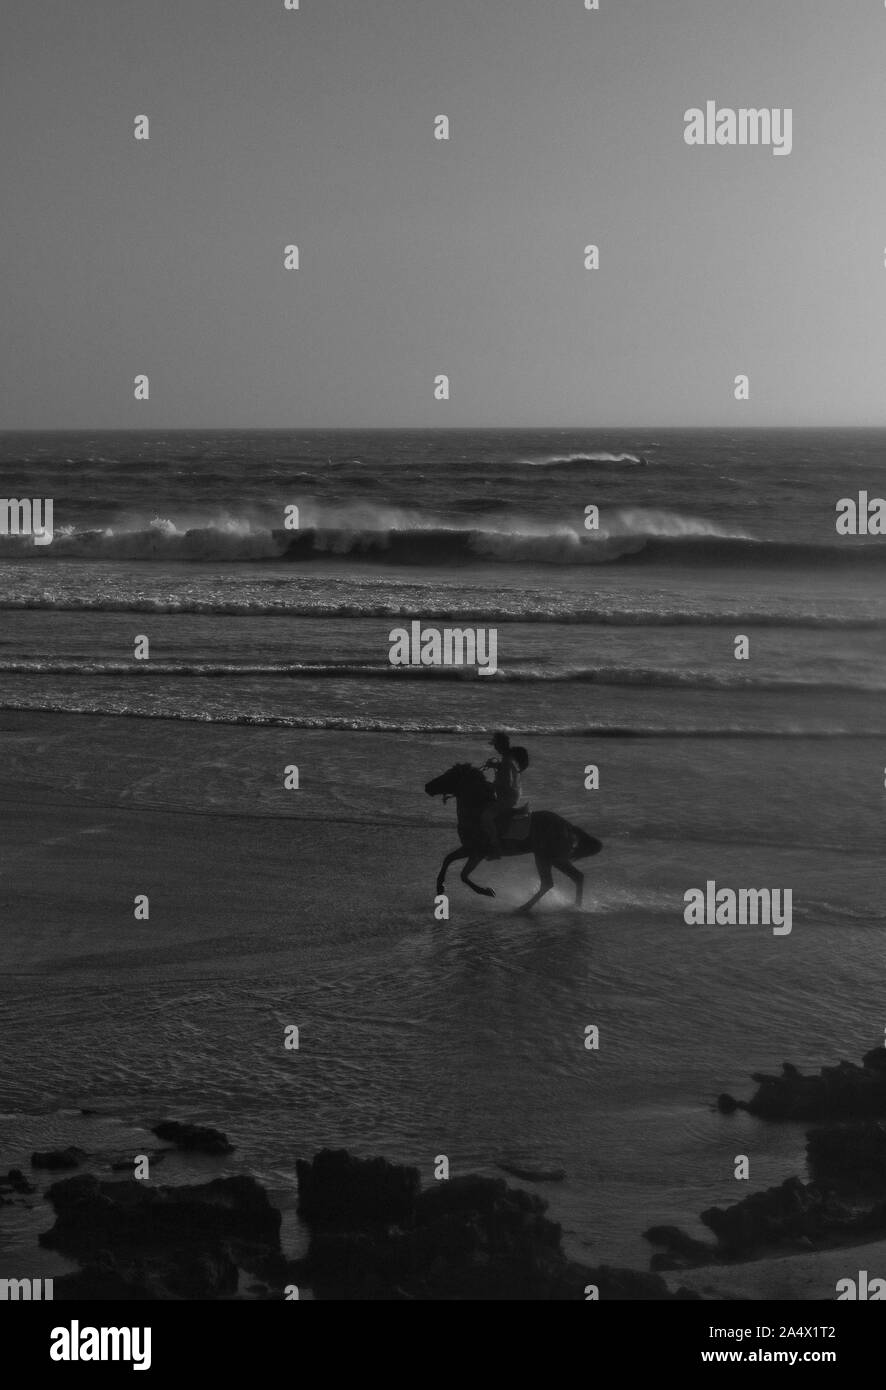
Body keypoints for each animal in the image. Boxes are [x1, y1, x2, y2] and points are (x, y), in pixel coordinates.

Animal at [422, 761, 600, 911]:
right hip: (550, 858)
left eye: (449, 775)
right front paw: (440, 887)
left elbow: (463, 875)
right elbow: (448, 859)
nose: (427, 786)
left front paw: (488, 891)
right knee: (564, 880)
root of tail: (567, 825)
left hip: (549, 857)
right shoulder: (468, 848)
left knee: (561, 880)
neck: (476, 811)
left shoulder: (477, 852)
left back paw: (529, 907)